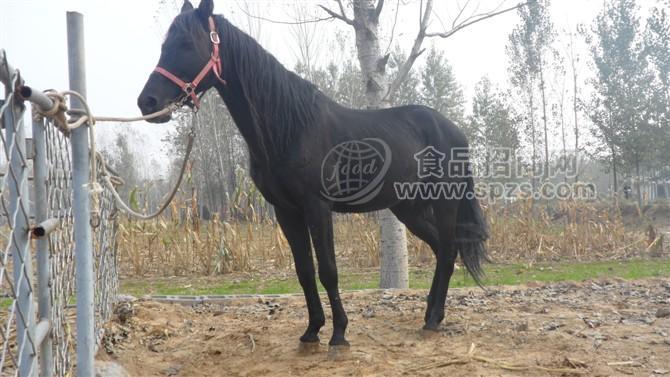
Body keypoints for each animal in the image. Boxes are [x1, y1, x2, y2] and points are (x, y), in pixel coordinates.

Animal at [139, 0, 490, 348]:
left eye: (187, 44)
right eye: (164, 46)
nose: (147, 102)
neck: (289, 128)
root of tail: (454, 131)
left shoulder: (317, 208)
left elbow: (328, 270)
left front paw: (339, 333)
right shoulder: (286, 211)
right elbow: (304, 271)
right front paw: (312, 330)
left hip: (444, 203)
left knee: (448, 251)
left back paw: (432, 319)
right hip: (408, 208)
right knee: (440, 249)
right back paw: (432, 313)